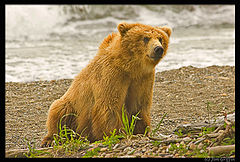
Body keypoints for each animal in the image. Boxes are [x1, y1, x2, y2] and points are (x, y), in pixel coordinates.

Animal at [41, 22, 172, 146]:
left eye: (160, 38)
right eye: (145, 38)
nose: (158, 49)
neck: (131, 67)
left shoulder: (143, 79)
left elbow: (139, 107)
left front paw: (141, 131)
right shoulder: (112, 76)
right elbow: (109, 106)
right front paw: (116, 134)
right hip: (73, 105)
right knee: (58, 111)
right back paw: (50, 139)